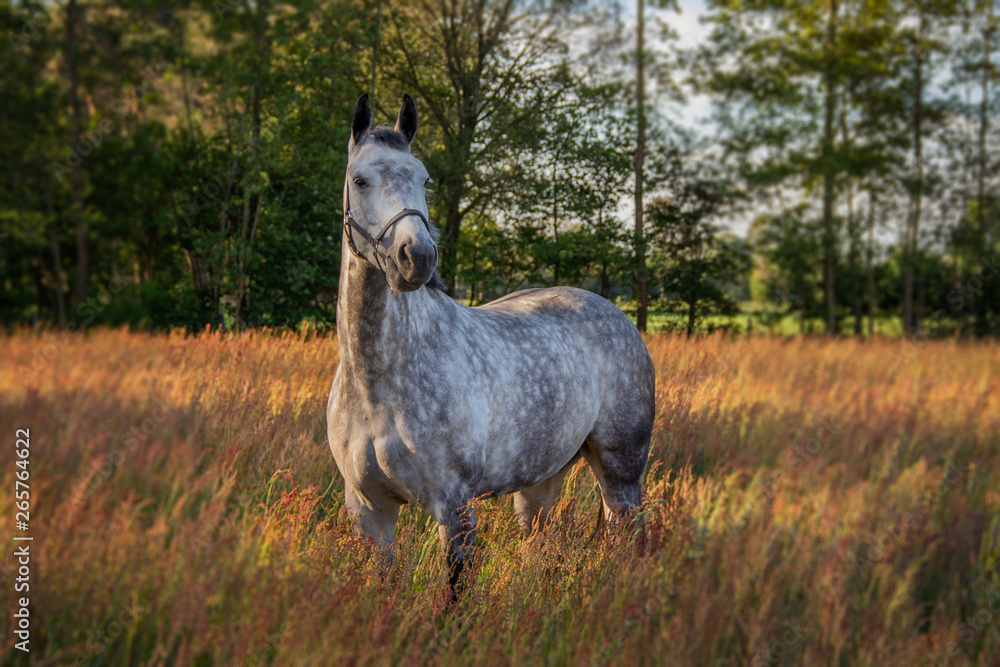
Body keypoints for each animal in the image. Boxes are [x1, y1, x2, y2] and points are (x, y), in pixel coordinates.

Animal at [326, 93, 655, 597]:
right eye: (360, 180)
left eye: (424, 179)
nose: (416, 257)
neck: (377, 384)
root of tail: (616, 315)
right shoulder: (369, 510)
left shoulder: (454, 507)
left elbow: (455, 591)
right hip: (542, 480)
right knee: (543, 544)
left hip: (621, 471)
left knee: (628, 537)